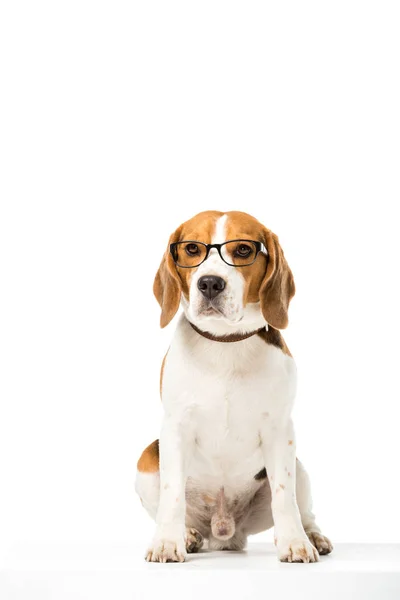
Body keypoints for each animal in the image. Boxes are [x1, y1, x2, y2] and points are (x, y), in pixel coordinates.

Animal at [136, 210, 332, 564]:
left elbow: (284, 497)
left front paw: (295, 543)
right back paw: (188, 535)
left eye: (242, 249)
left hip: (299, 467)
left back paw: (312, 536)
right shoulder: (175, 427)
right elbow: (172, 496)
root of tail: (224, 531)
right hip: (146, 458)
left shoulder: (280, 429)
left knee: (303, 508)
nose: (210, 283)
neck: (225, 343)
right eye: (192, 248)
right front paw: (167, 543)